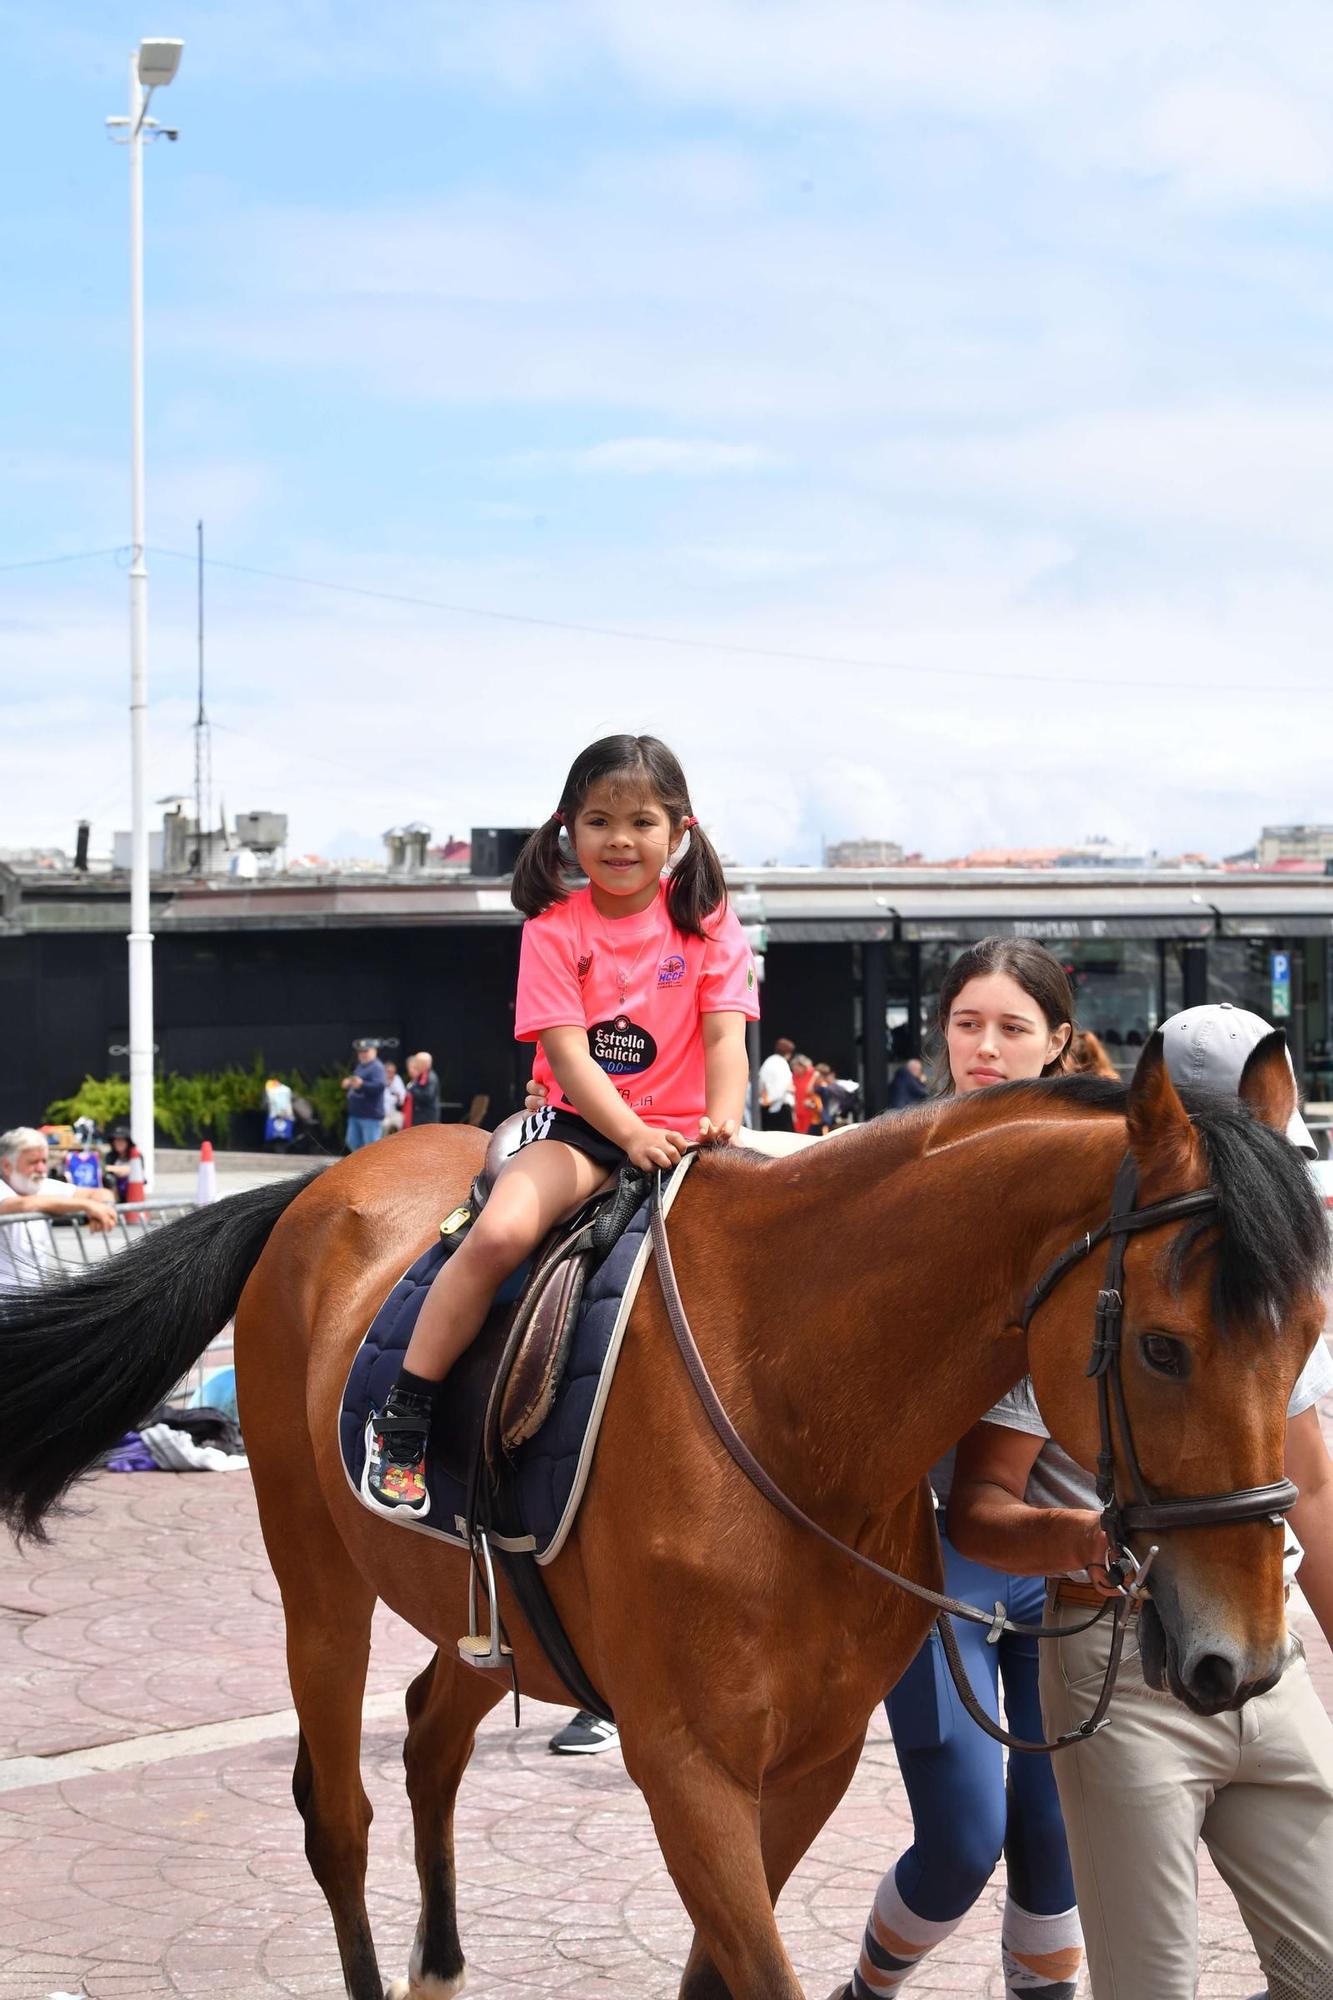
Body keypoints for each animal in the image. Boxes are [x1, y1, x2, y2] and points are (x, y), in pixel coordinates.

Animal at [2, 1032, 1320, 2000]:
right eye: (1162, 1346)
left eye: (1310, 1332)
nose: (1242, 1658)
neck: (787, 1402)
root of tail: (315, 1193)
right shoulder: (688, 1766)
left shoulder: (809, 1761)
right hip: (318, 1582)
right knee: (339, 1813)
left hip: (485, 1609)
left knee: (429, 1739)